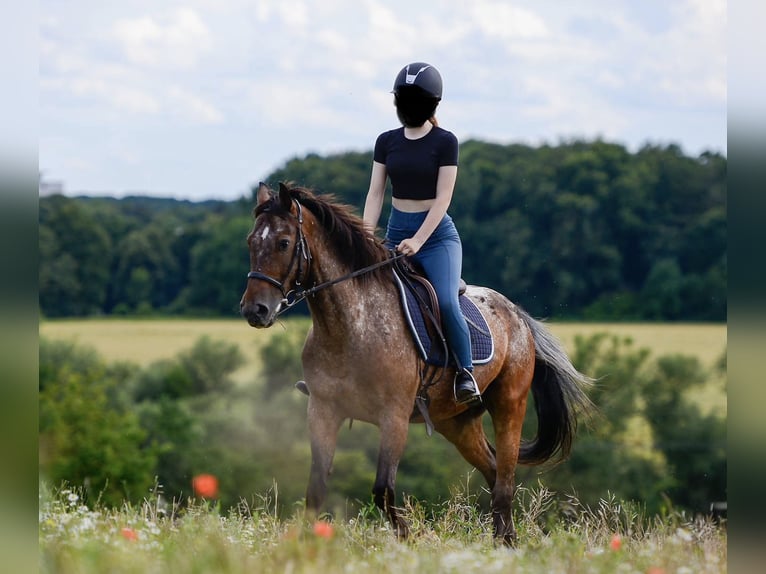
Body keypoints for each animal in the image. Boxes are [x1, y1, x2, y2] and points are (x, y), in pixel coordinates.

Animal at [240, 181, 592, 544]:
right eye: (251, 241)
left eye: (283, 242)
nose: (255, 310)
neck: (352, 324)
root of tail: (517, 314)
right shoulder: (323, 410)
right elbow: (317, 488)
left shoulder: (393, 415)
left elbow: (383, 489)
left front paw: (410, 539)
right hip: (457, 422)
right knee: (494, 472)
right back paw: (503, 541)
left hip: (509, 404)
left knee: (505, 480)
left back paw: (507, 542)